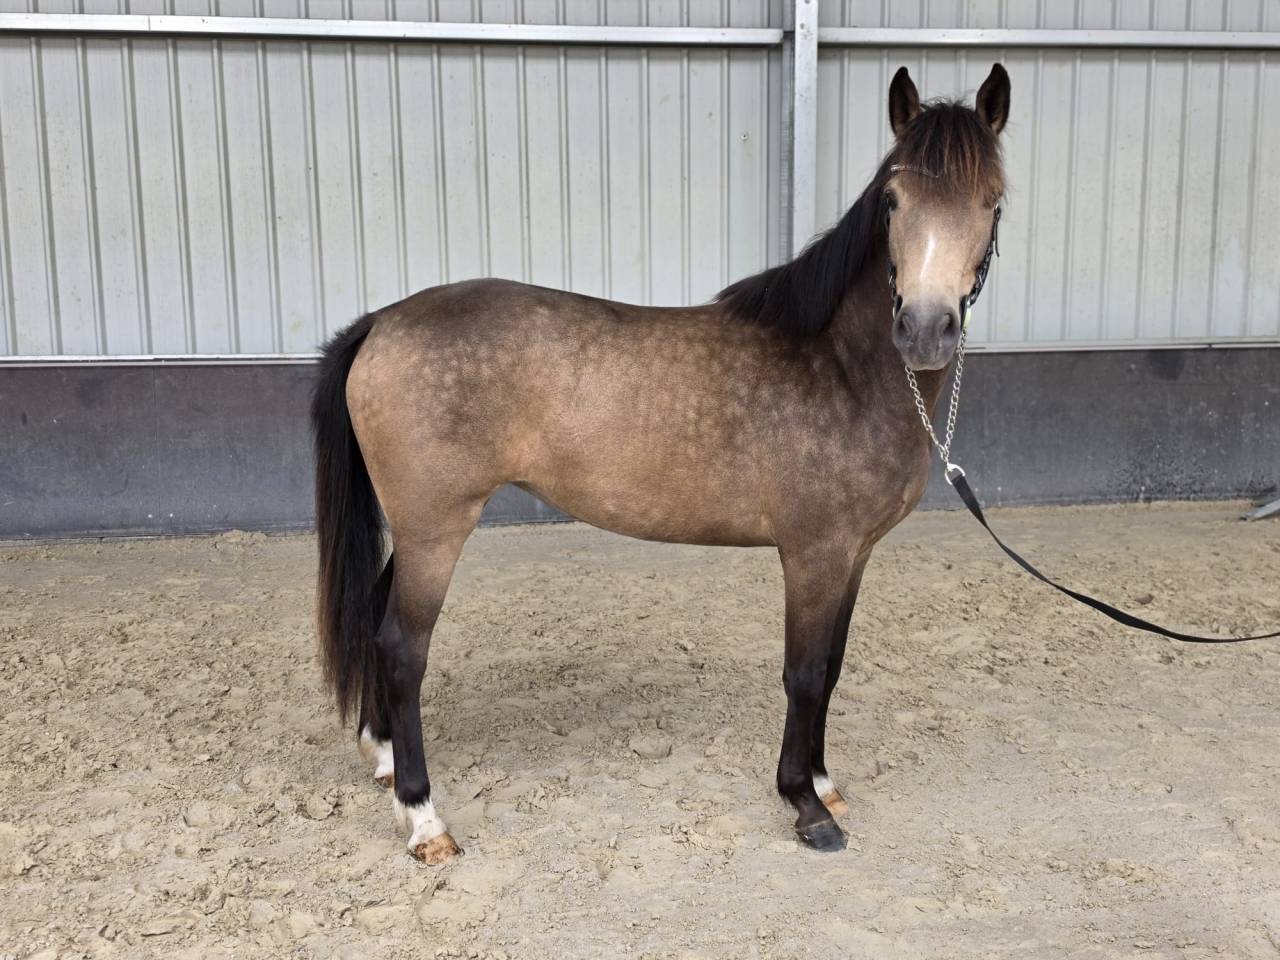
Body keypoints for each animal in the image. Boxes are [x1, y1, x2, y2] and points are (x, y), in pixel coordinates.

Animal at [310, 63, 1011, 862]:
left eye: (993, 202)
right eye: (894, 200)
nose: (924, 330)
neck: (841, 366)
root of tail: (381, 322)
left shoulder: (854, 556)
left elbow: (831, 669)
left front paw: (825, 782)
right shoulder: (814, 554)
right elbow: (804, 674)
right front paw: (805, 804)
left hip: (417, 527)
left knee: (375, 623)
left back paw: (384, 758)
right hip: (436, 529)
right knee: (403, 648)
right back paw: (425, 817)